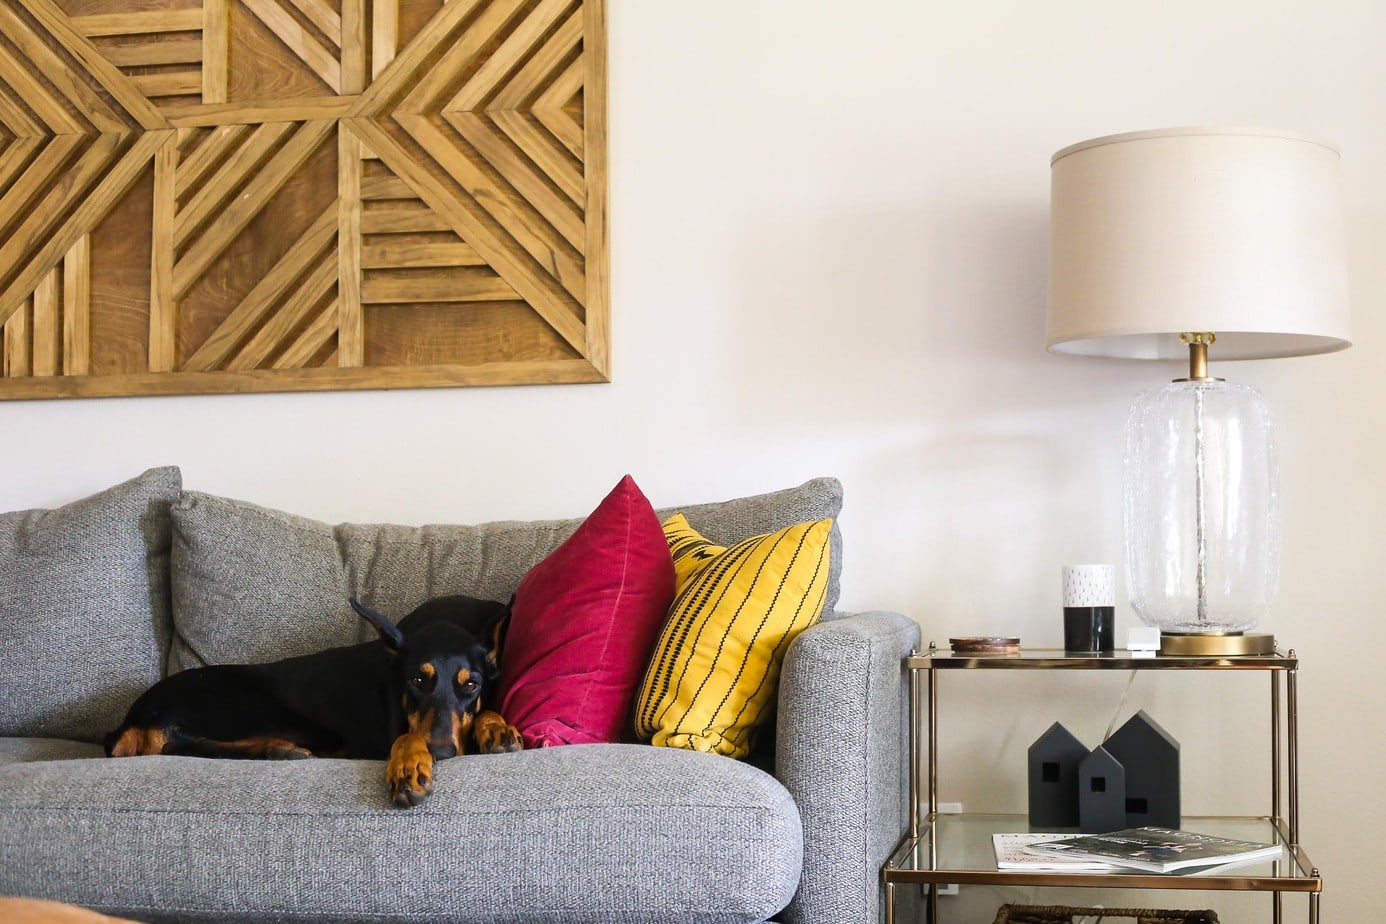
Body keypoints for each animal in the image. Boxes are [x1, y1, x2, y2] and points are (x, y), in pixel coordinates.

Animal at [103, 595, 523, 803]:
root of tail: (133, 716)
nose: (442, 753)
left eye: (471, 686)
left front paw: (497, 728)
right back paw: (279, 751)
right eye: (417, 680)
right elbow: (406, 734)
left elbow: (486, 711)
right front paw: (408, 765)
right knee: (174, 744)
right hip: (273, 712)